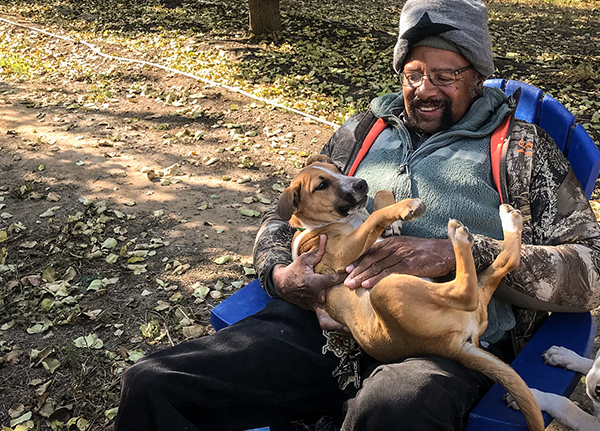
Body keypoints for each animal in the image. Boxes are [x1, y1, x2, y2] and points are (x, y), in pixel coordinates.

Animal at [276, 155, 544, 431]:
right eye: (321, 185)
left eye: (338, 169)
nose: (361, 183)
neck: (325, 225)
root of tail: (452, 347)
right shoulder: (340, 256)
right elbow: (374, 217)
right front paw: (402, 208)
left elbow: (380, 199)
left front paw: (392, 220)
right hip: (386, 289)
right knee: (464, 291)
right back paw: (460, 237)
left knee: (507, 262)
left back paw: (508, 221)